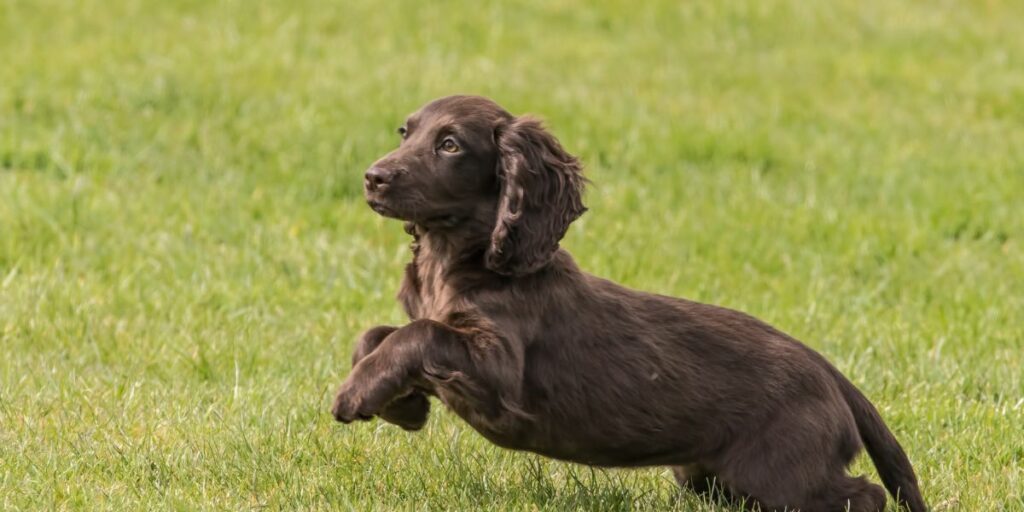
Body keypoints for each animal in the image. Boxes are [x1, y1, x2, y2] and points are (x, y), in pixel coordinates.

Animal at [329, 96, 929, 512]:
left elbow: (418, 334)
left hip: (779, 472)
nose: (372, 178)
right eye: (406, 132)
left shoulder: (499, 371)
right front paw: (401, 404)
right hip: (713, 477)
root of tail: (831, 373)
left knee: (864, 496)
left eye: (450, 145)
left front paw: (355, 395)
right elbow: (376, 334)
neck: (460, 258)